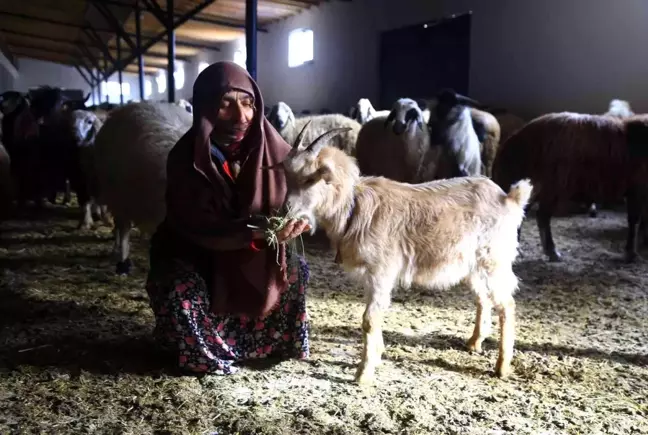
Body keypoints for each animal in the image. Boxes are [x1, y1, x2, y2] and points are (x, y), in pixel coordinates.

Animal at [280, 122, 536, 384]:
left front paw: (363, 374)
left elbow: (369, 320)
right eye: (287, 176)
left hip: (494, 259)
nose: (285, 210)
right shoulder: (373, 277)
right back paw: (474, 342)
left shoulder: (381, 271)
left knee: (506, 304)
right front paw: (377, 355)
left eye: (310, 178)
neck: (354, 207)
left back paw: (502, 366)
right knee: (483, 298)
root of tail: (509, 198)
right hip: (471, 265)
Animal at [492, 111, 648, 262]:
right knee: (541, 216)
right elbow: (634, 221)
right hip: (550, 187)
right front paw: (631, 254)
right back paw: (552, 252)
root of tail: (516, 139)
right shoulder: (637, 190)